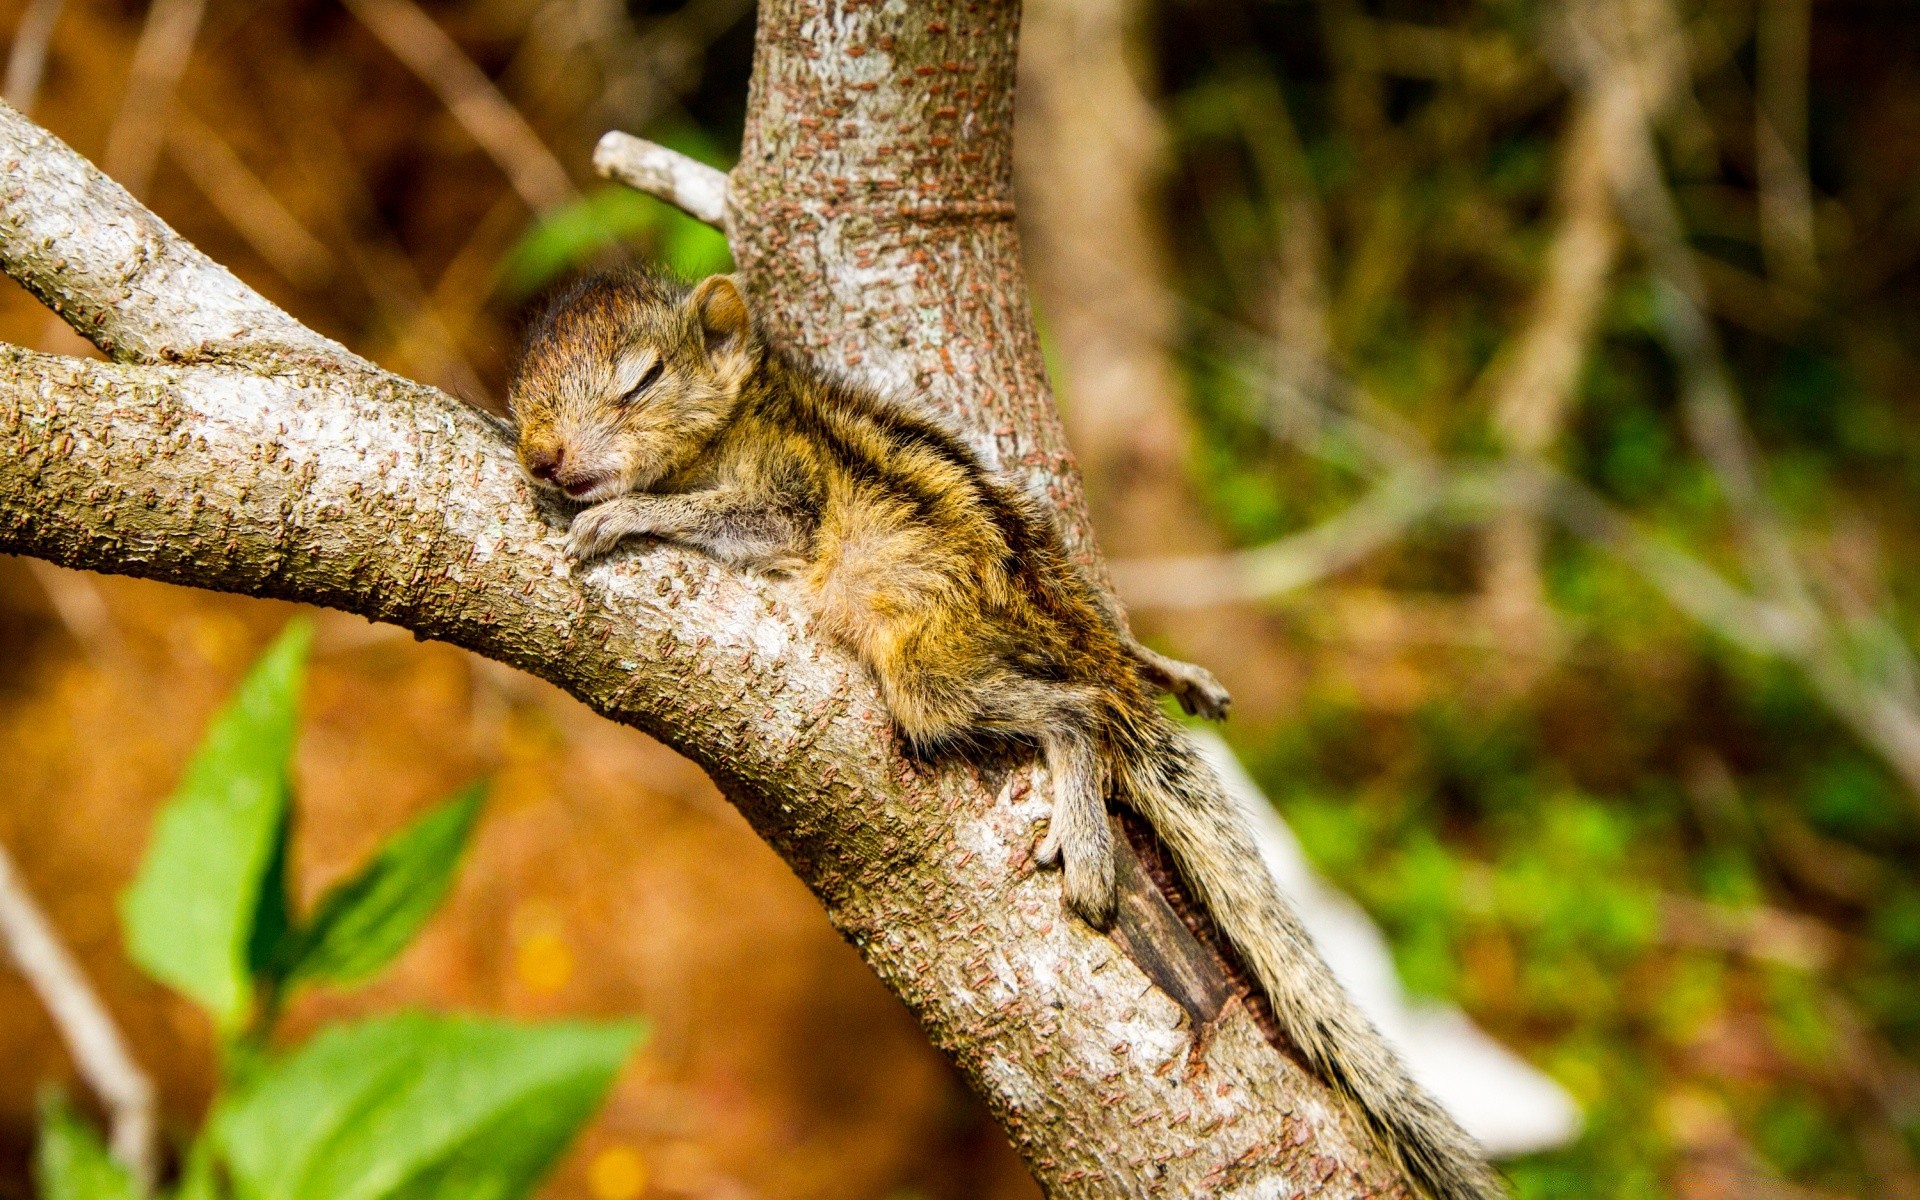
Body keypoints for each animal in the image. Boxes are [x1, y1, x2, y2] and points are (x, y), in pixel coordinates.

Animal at [510, 268, 1497, 1198]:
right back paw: (1165, 672)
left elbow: (722, 513)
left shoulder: (785, 498)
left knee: (1078, 713)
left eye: (642, 381)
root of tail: (1075, 635)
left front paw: (620, 515)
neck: (745, 411)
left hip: (928, 675)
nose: (543, 458)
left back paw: (1091, 839)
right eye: (524, 391)